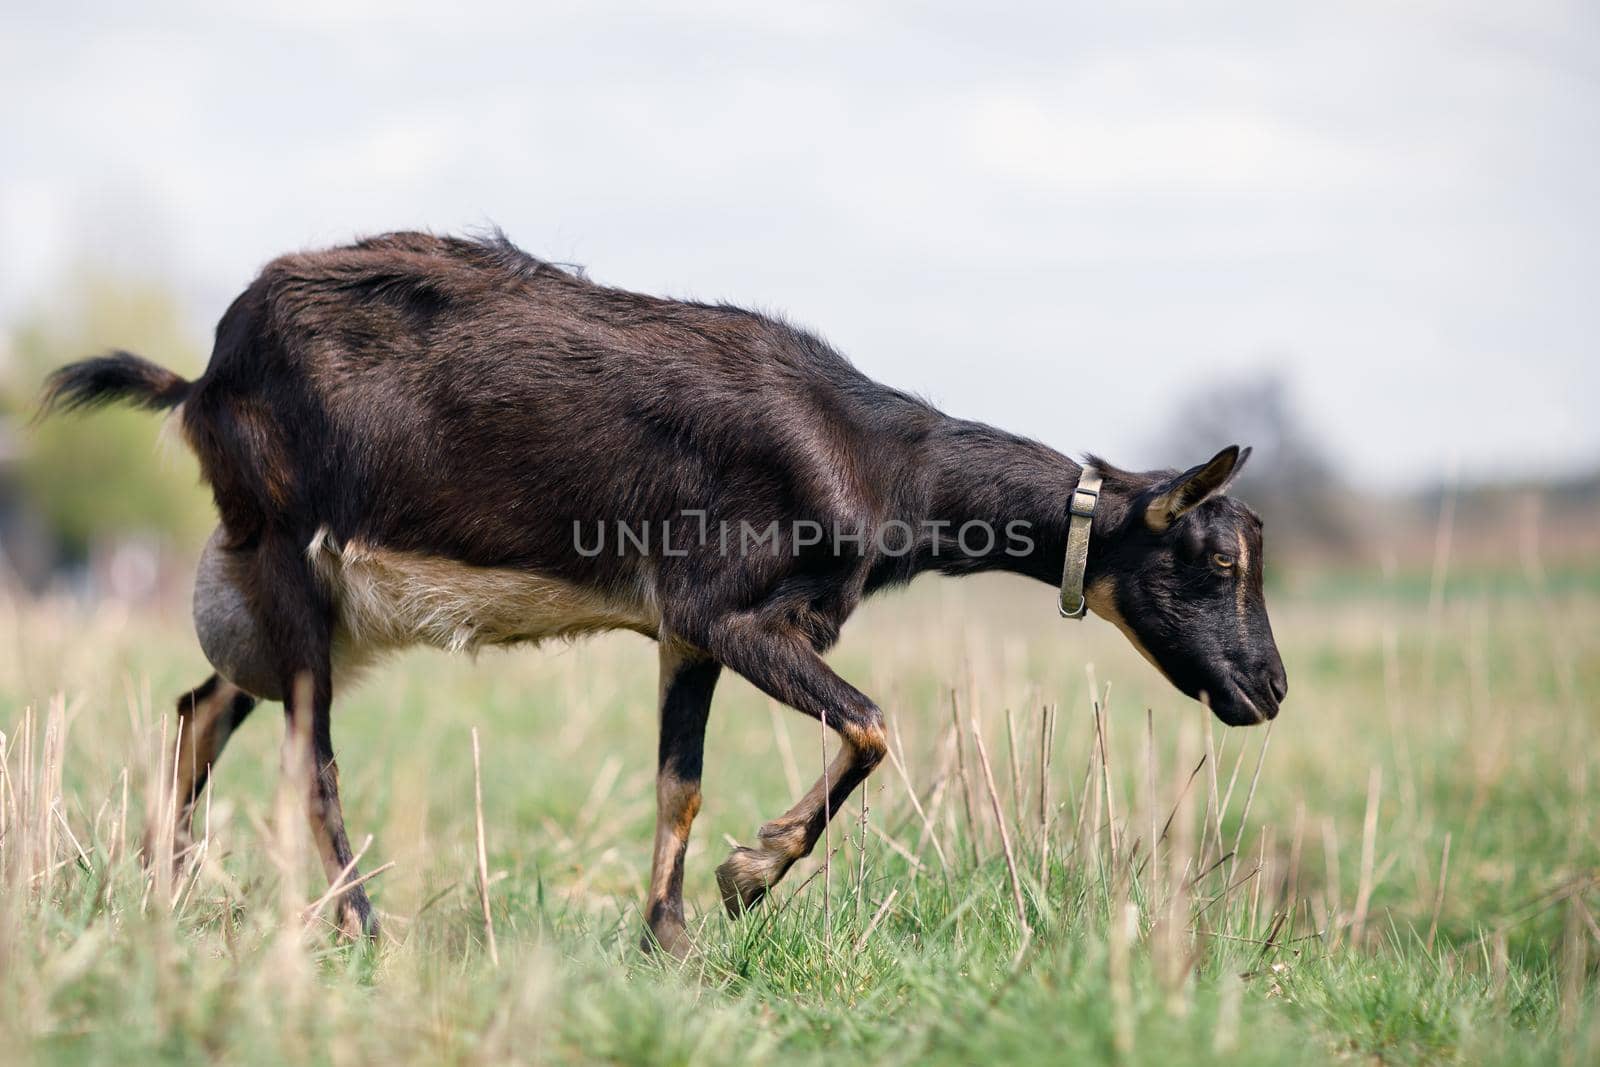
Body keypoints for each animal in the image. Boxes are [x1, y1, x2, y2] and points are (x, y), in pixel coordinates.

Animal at [40, 231, 1286, 953]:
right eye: (1218, 562)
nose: (1267, 690)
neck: (878, 455)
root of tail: (202, 374)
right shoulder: (727, 611)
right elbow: (873, 722)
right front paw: (748, 878)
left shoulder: (684, 636)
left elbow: (677, 784)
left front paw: (670, 934)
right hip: (291, 564)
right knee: (309, 755)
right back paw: (361, 926)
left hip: (303, 603)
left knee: (202, 709)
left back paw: (167, 893)